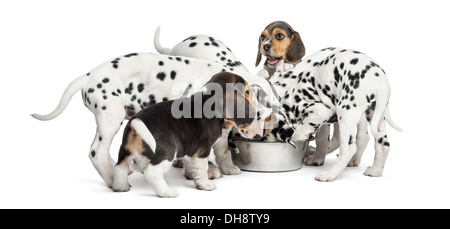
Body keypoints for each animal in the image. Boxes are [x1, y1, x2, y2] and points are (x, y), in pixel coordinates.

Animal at [31, 50, 292, 188]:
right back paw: (113, 179)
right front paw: (200, 174)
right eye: (259, 115)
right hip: (110, 118)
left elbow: (222, 149)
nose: (257, 135)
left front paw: (226, 167)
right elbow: (196, 156)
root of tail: (87, 77)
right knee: (96, 152)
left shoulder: (222, 129)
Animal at [272, 47, 402, 182]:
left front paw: (300, 139)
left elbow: (308, 133)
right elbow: (322, 140)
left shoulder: (320, 111)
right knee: (383, 145)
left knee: (349, 148)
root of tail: (381, 84)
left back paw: (328, 174)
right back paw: (375, 171)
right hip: (376, 116)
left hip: (345, 112)